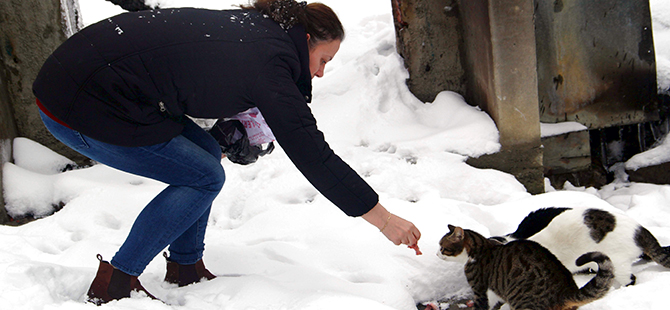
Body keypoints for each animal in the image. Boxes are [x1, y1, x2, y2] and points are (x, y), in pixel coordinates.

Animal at [438, 225, 616, 310]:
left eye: (443, 247)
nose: (436, 254)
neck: (480, 248)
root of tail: (566, 291)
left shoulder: (480, 290)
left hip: (524, 304)